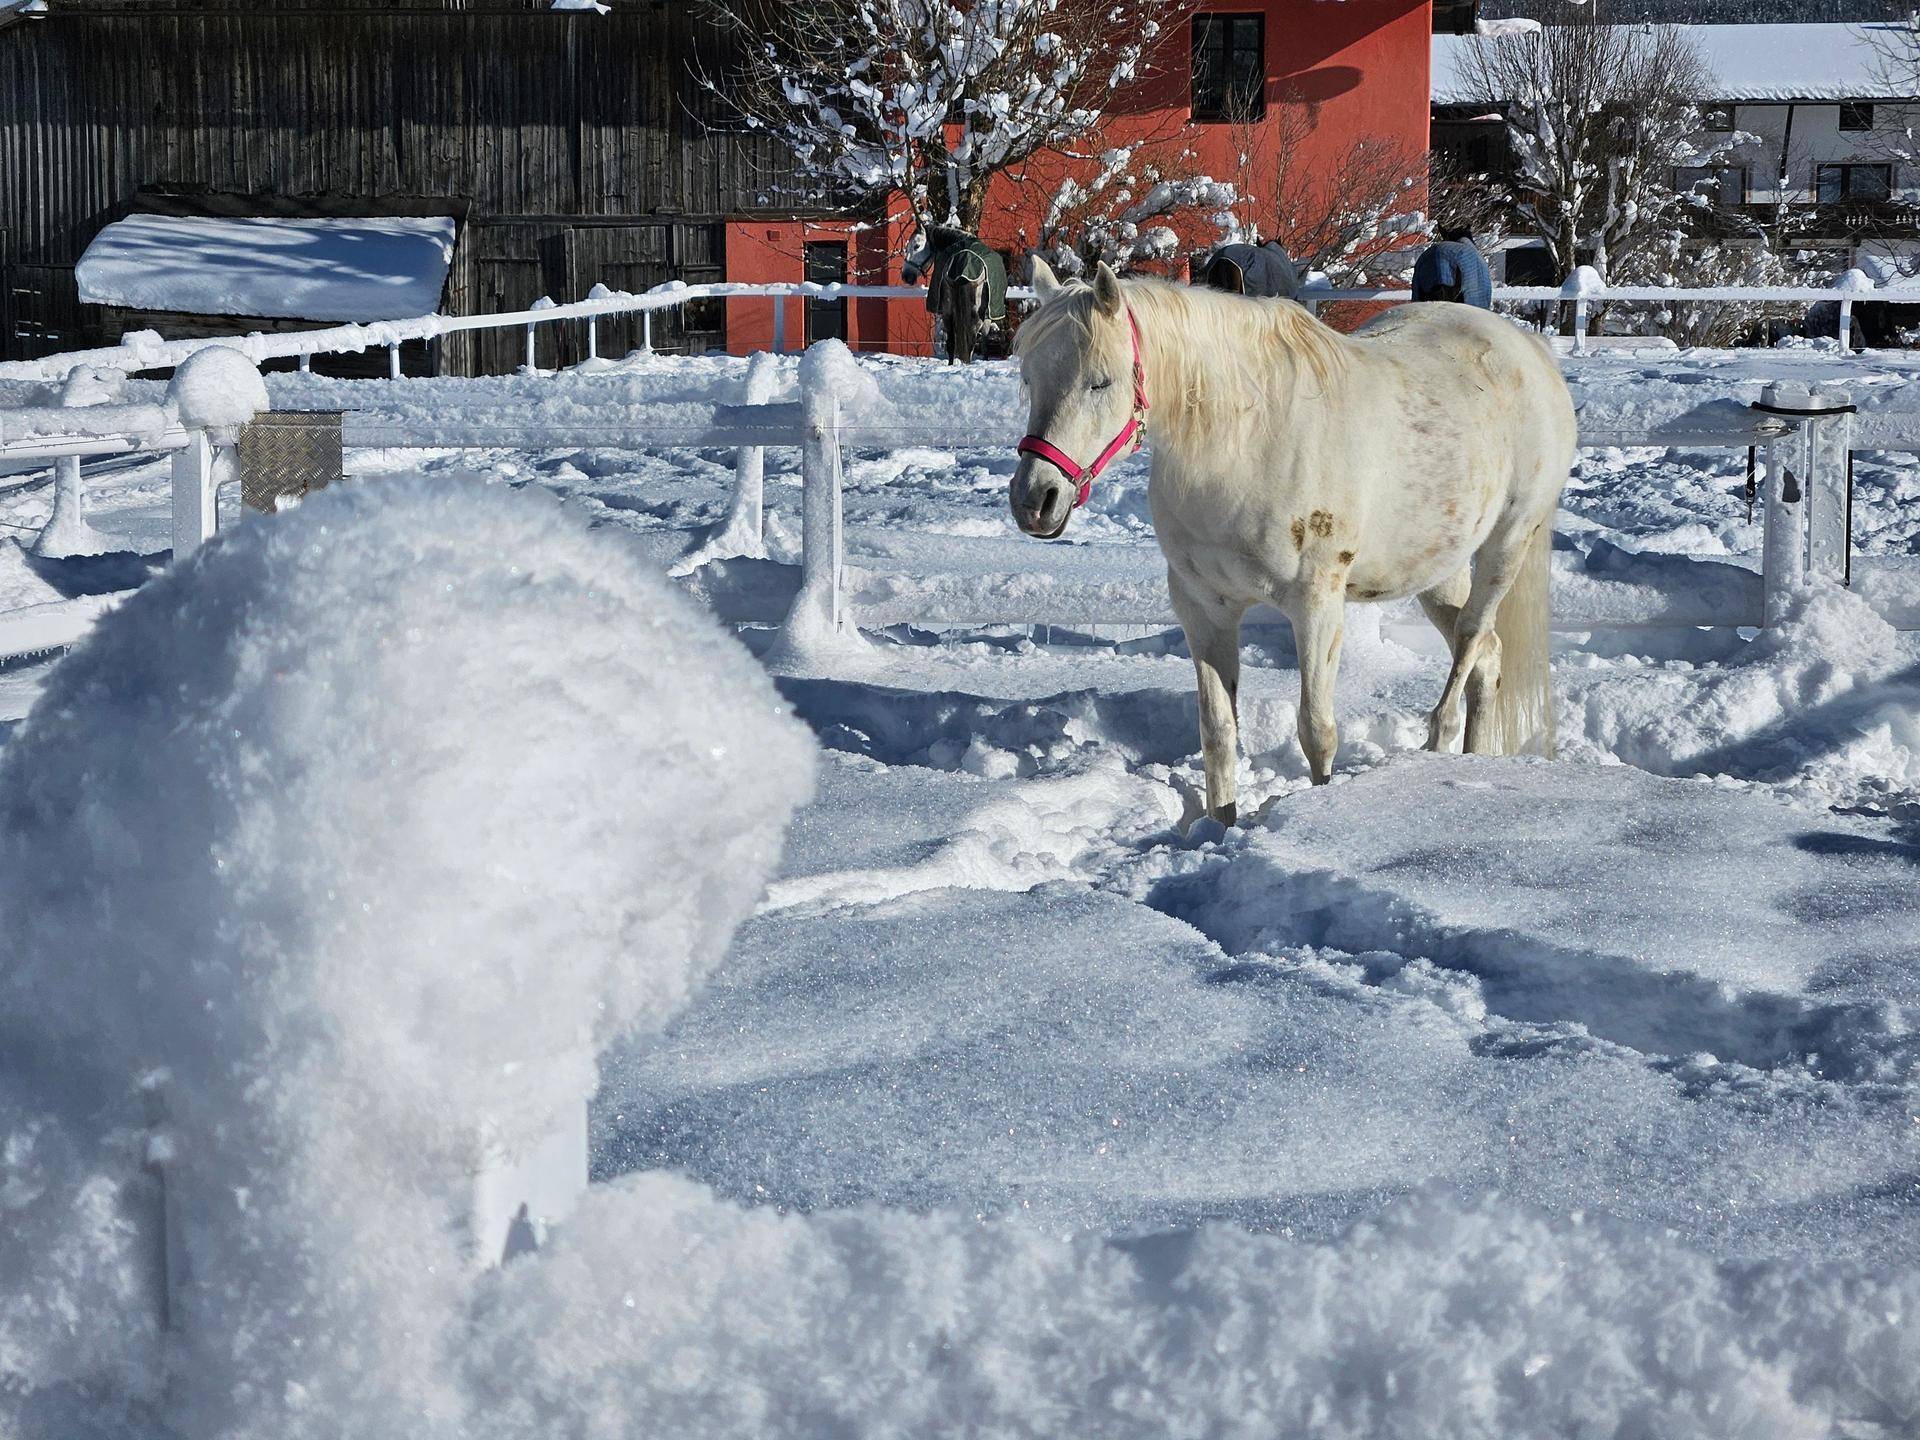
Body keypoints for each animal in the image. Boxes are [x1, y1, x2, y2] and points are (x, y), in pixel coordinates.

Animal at [1009, 258, 1575, 825]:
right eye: (1029, 377)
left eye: (1100, 382)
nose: (1033, 500)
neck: (1244, 446)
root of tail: (1529, 349)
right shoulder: (1203, 608)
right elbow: (1218, 733)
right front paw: (1220, 829)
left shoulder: (1317, 606)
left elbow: (1317, 732)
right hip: (1440, 567)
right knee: (1488, 658)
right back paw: (1474, 762)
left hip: (1506, 544)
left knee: (1471, 641)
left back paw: (1439, 742)